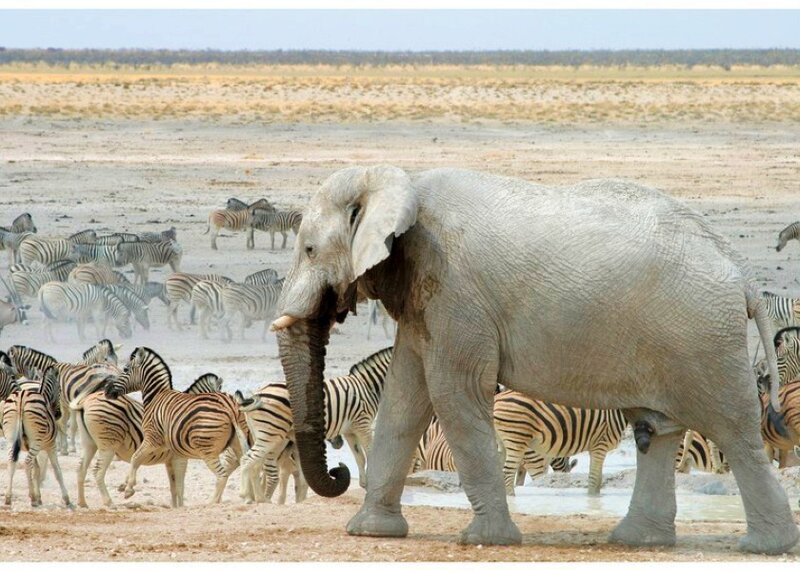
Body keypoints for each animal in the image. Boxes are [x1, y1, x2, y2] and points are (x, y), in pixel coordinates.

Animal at [2, 366, 72, 508]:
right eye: (60, 389)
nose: (58, 414)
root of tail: (21, 398)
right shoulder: (51, 446)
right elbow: (57, 471)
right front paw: (66, 498)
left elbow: (36, 470)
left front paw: (38, 496)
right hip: (36, 441)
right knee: (26, 462)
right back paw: (33, 500)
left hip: (11, 439)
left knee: (12, 462)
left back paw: (8, 497)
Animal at [71, 370, 225, 508]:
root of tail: (85, 402)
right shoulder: (179, 458)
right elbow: (180, 487)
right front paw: (181, 507)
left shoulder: (169, 461)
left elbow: (173, 487)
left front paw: (175, 507)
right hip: (108, 445)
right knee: (98, 471)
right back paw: (109, 503)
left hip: (89, 444)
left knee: (81, 470)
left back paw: (82, 503)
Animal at [103, 347, 253, 506]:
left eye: (125, 369)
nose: (106, 390)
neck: (156, 396)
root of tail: (228, 404)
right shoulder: (175, 454)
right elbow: (176, 486)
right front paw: (125, 485)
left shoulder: (153, 439)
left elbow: (135, 458)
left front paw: (129, 489)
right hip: (238, 442)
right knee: (246, 463)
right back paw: (247, 498)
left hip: (207, 449)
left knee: (222, 475)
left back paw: (212, 503)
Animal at [494, 389, 628, 495]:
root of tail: (497, 398)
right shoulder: (600, 444)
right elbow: (594, 481)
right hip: (516, 439)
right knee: (507, 474)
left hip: (504, 444)